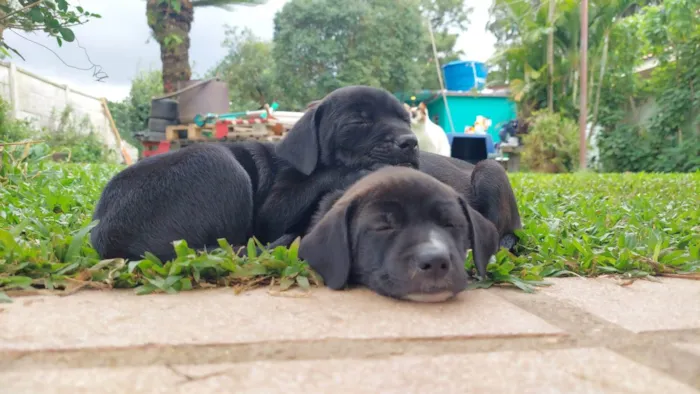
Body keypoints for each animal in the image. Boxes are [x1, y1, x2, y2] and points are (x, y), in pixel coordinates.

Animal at [87, 87, 416, 264]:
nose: (411, 142)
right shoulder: (274, 211)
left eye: (406, 119)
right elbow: (325, 176)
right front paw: (360, 171)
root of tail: (108, 239)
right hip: (219, 162)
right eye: (359, 121)